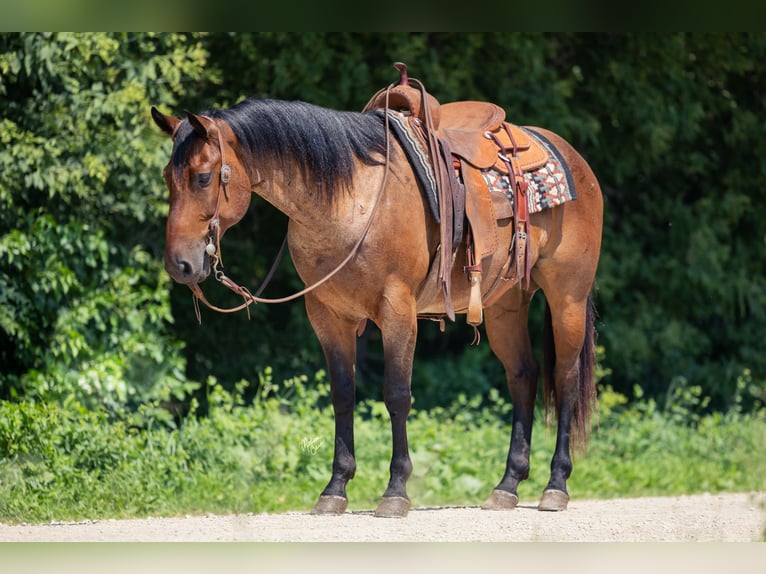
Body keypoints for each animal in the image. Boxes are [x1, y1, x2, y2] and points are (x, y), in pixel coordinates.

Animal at [151, 87, 603, 518]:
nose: (179, 264)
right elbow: (343, 394)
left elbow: (397, 395)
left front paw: (396, 491)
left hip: (567, 298)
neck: (352, 200)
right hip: (504, 306)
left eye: (203, 177)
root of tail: (573, 157)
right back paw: (507, 485)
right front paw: (335, 489)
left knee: (564, 378)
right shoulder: (327, 316)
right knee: (523, 376)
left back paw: (555, 486)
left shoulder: (397, 309)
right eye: (168, 177)